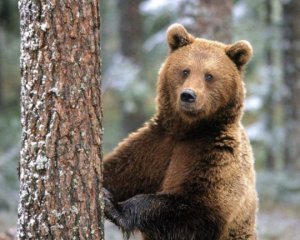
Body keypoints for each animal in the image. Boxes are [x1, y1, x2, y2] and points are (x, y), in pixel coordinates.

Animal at [103, 23, 258, 240]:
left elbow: (196, 211)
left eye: (209, 75)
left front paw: (115, 208)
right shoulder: (155, 146)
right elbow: (118, 171)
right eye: (185, 71)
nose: (188, 95)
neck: (188, 130)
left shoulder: (215, 155)